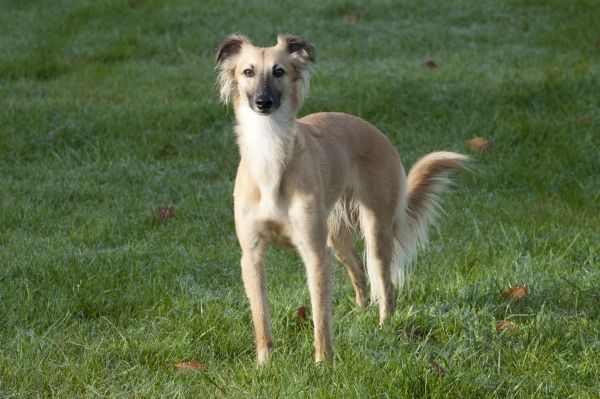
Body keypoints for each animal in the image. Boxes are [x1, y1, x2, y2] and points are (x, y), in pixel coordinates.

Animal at [216, 34, 468, 366]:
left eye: (279, 71)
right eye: (248, 71)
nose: (263, 102)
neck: (270, 155)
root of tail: (372, 128)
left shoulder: (314, 253)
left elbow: (321, 315)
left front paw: (323, 363)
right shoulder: (252, 256)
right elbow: (261, 317)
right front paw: (264, 364)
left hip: (375, 229)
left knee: (385, 283)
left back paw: (383, 327)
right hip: (336, 238)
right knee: (359, 272)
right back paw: (362, 314)